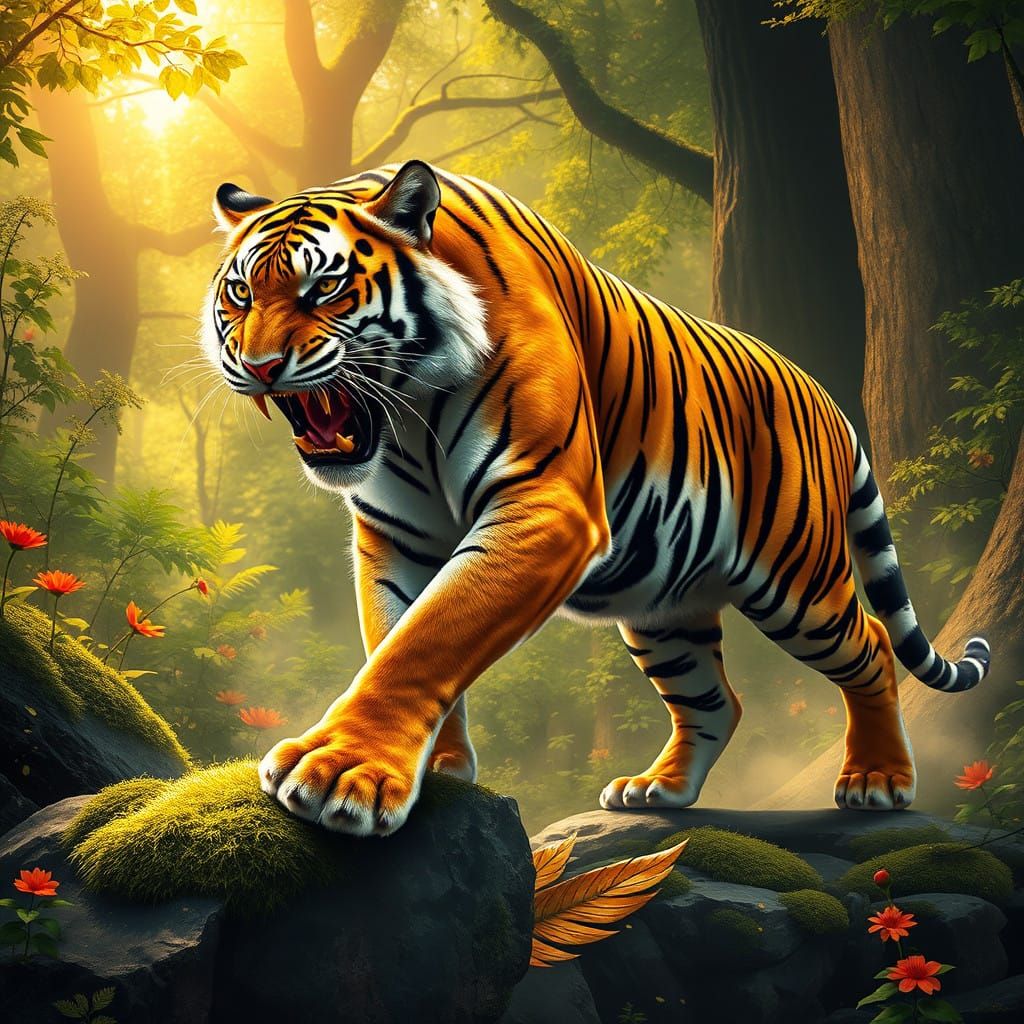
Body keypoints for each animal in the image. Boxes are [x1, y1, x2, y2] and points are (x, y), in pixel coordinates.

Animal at [201, 160, 991, 837]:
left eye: (322, 289)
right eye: (241, 293)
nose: (259, 365)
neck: (407, 417)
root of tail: (824, 397)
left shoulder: (545, 506)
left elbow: (427, 640)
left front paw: (342, 772)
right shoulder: (394, 538)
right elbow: (396, 636)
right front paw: (438, 770)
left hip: (799, 584)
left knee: (873, 644)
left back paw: (878, 780)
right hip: (662, 608)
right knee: (716, 700)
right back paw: (659, 790)